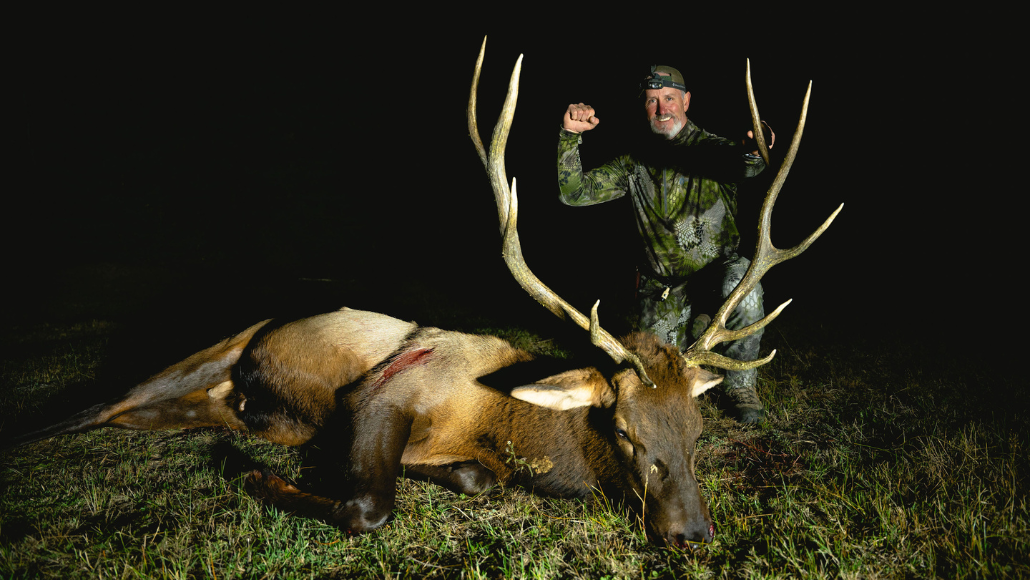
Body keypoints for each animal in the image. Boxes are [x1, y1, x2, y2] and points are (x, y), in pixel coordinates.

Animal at [2, 38, 840, 549]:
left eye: (697, 433)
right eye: (626, 431)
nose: (691, 533)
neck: (498, 413)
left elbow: (470, 477)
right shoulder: (384, 393)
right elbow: (368, 507)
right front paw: (251, 473)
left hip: (209, 399)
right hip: (214, 348)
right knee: (100, 402)